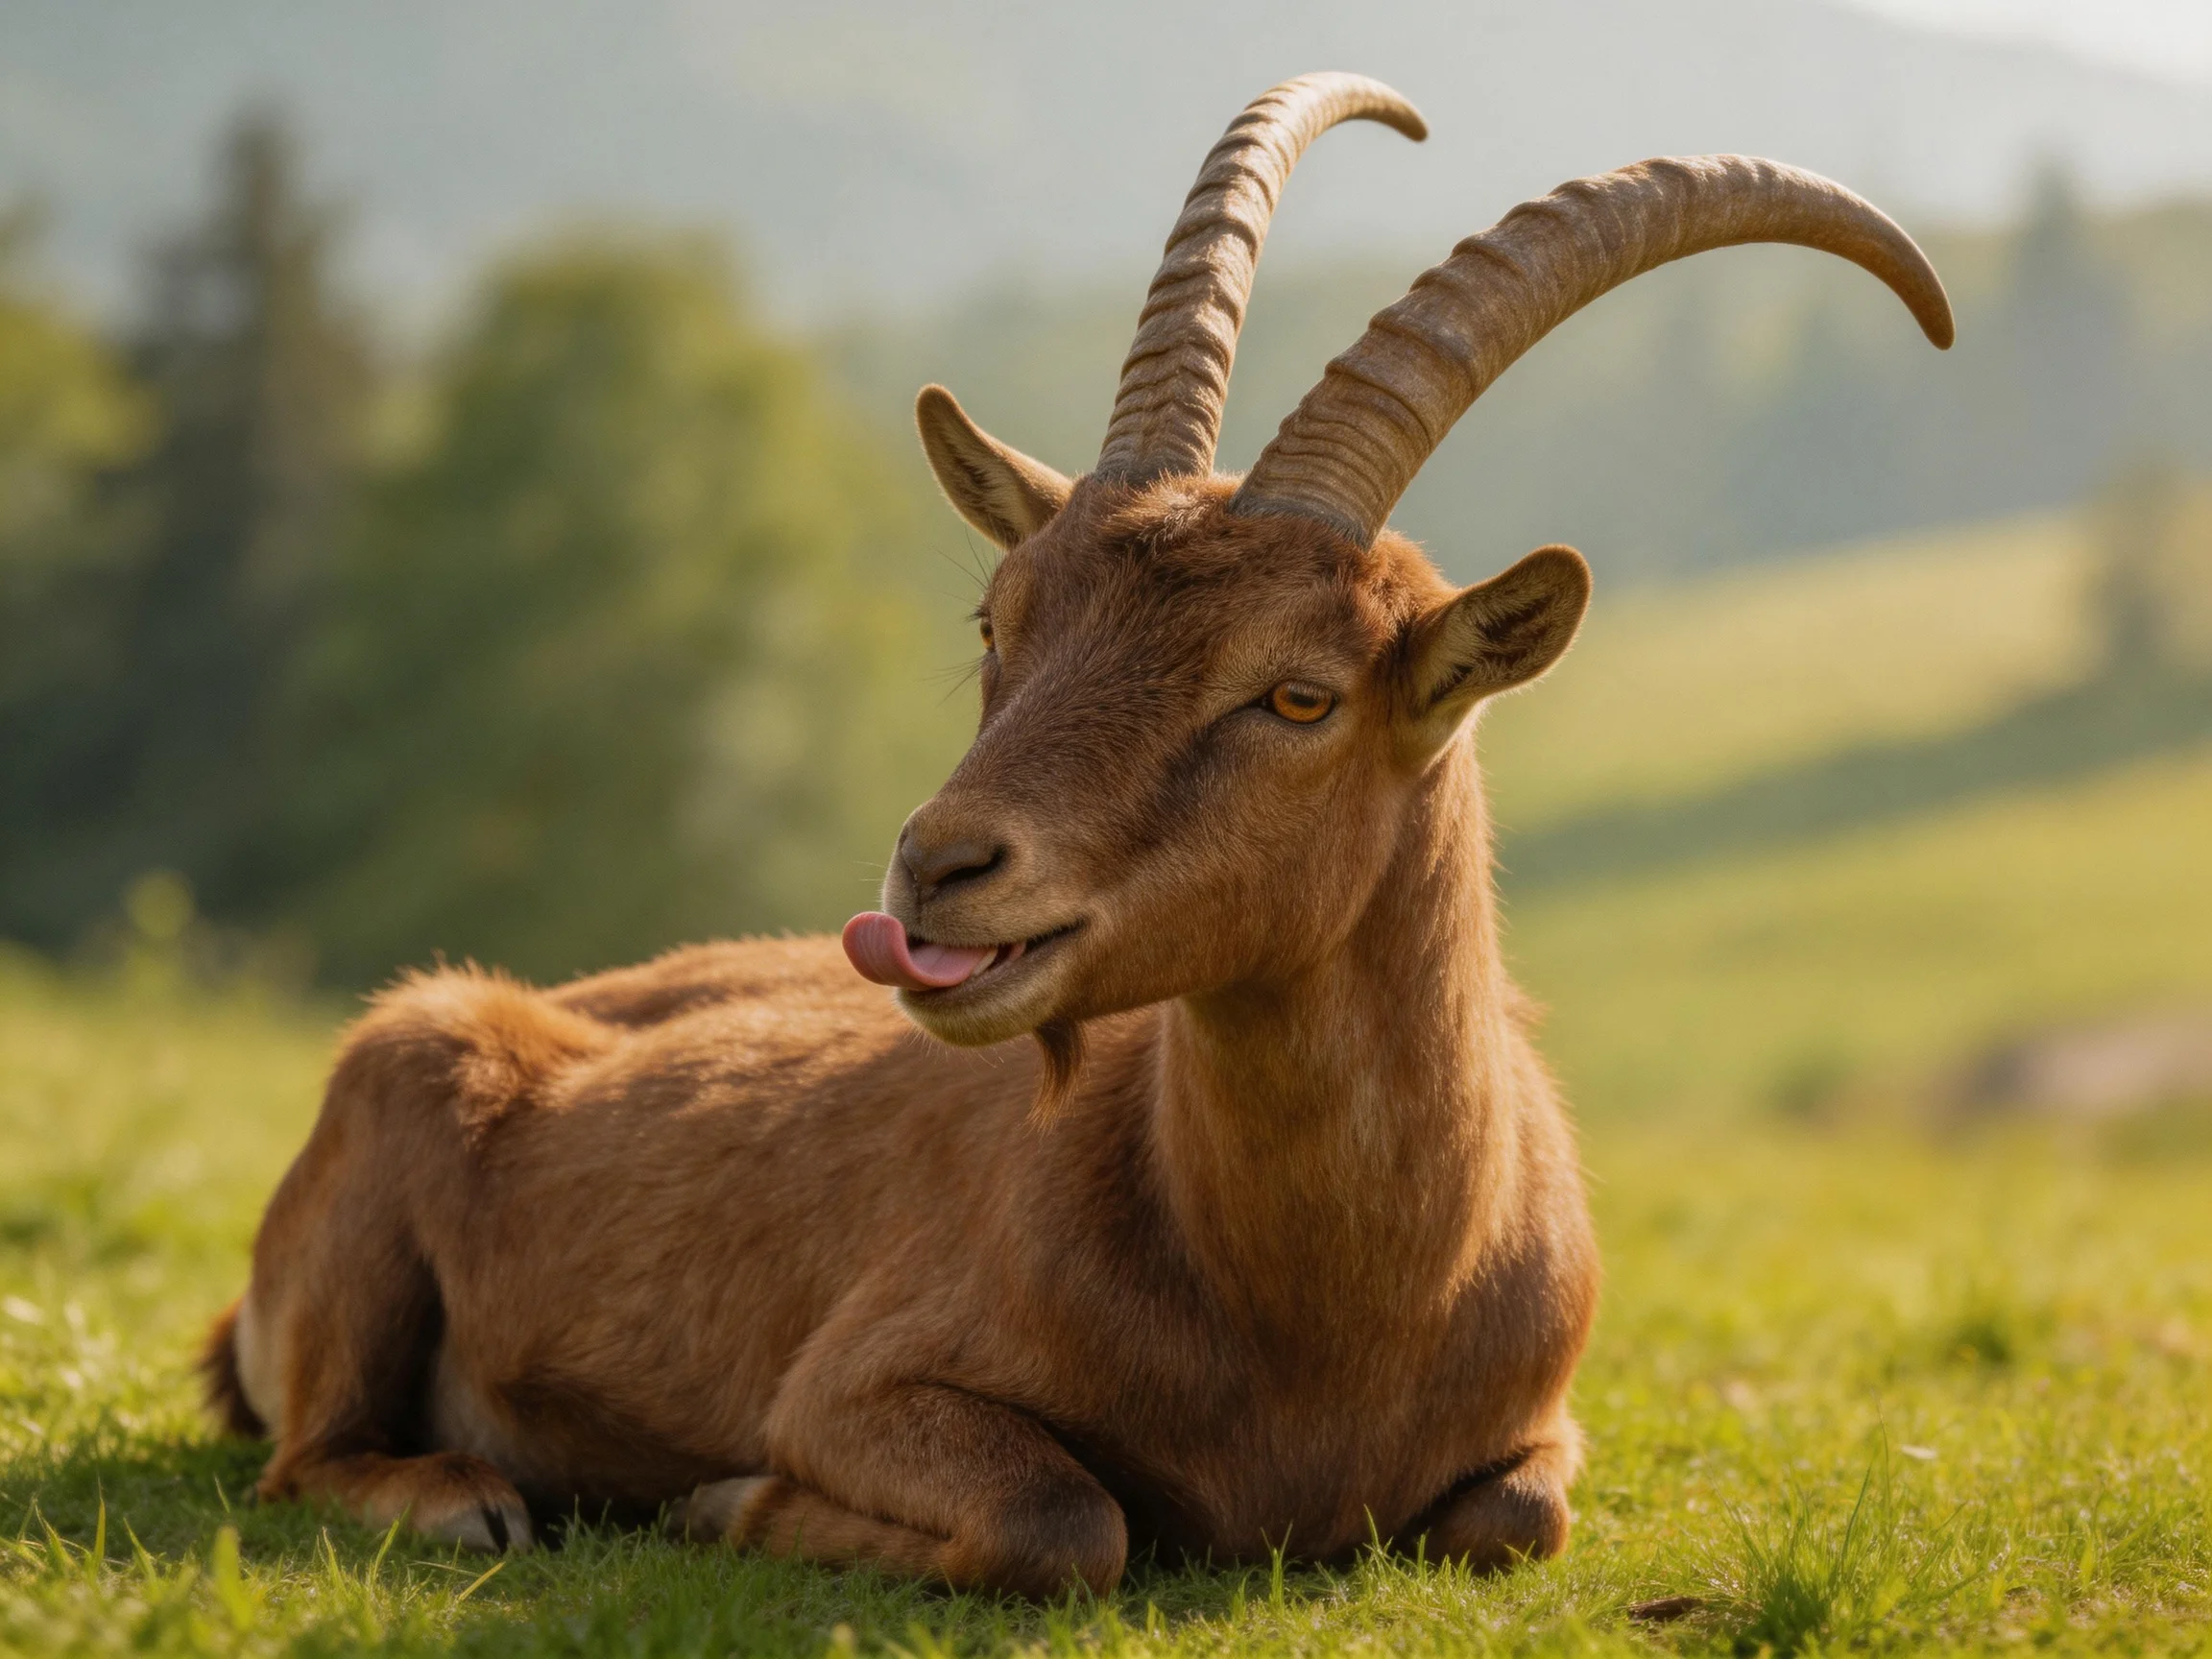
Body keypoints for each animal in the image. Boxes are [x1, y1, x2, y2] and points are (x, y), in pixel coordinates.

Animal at [205, 73, 1950, 1597]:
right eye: (1002, 618)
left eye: (1298, 694)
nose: (937, 869)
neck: (1322, 1318)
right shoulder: (861, 1380)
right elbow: (1062, 1519)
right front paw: (717, 1499)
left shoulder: (1538, 1431)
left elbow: (1515, 1516)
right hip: (381, 1151)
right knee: (303, 1458)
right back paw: (471, 1494)